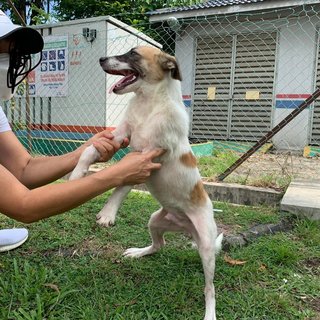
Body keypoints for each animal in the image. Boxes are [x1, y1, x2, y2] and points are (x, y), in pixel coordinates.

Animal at [70, 46, 222, 318]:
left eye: (133, 53)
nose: (100, 59)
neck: (148, 104)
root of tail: (186, 227)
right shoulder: (118, 137)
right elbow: (89, 151)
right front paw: (76, 175)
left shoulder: (147, 160)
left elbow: (122, 185)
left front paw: (108, 213)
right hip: (155, 221)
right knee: (159, 245)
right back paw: (138, 252)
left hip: (206, 245)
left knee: (210, 288)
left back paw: (210, 312)